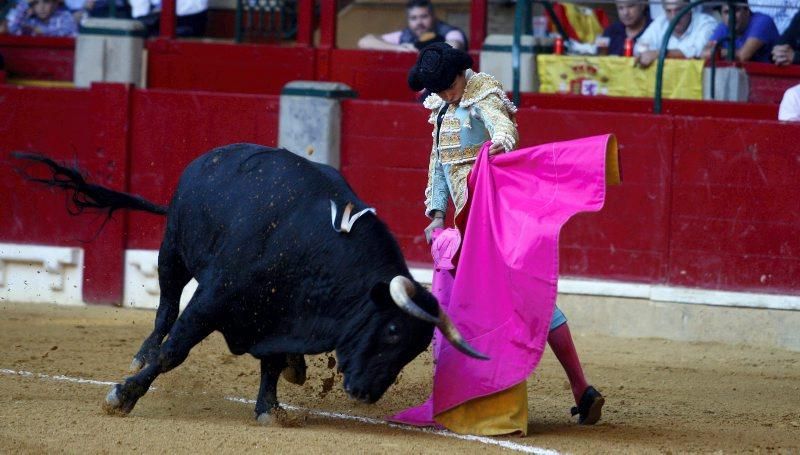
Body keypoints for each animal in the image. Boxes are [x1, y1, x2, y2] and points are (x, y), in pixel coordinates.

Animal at [14, 143, 488, 424]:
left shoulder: (278, 313)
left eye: (416, 349)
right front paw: (123, 395)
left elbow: (272, 363)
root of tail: (208, 158)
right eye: (390, 330)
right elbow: (174, 352)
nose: (366, 394)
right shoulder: (212, 299)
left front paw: (270, 409)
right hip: (173, 253)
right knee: (165, 309)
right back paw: (140, 356)